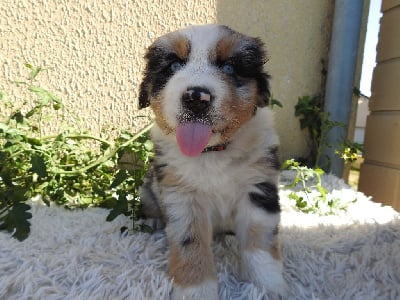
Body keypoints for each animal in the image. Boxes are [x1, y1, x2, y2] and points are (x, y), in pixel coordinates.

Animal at [138, 24, 288, 298]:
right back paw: (153, 221)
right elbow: (191, 244)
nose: (196, 97)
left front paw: (267, 286)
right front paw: (196, 290)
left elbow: (260, 242)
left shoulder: (258, 188)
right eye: (174, 65)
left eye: (229, 67)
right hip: (147, 188)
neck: (212, 152)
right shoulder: (181, 196)